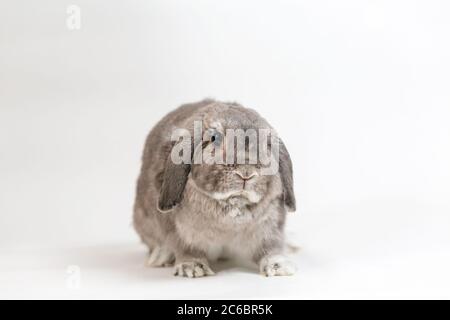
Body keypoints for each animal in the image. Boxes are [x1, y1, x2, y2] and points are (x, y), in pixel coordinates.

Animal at [132, 100, 298, 278]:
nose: (246, 171)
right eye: (214, 138)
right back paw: (161, 257)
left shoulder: (269, 228)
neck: (233, 204)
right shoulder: (180, 232)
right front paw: (192, 268)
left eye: (267, 144)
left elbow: (270, 248)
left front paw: (279, 267)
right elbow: (186, 249)